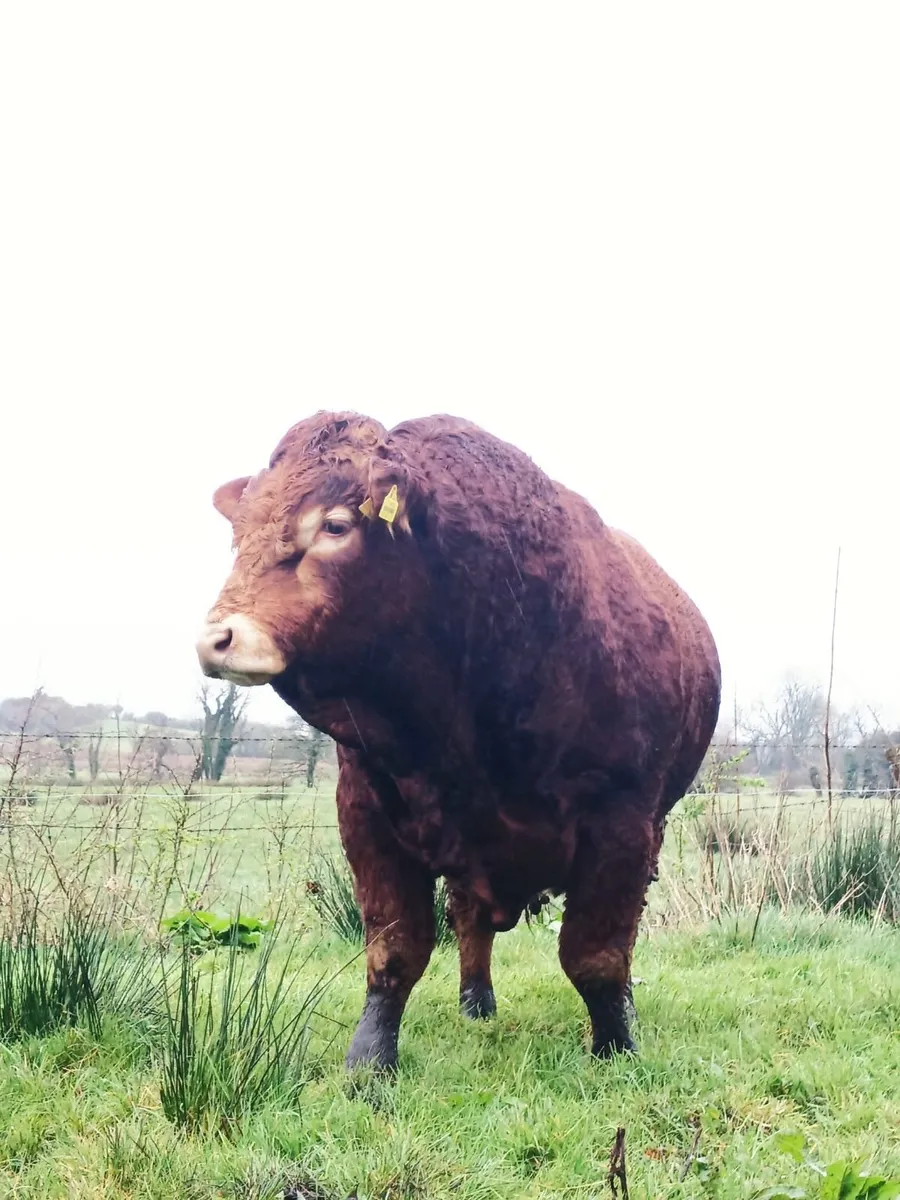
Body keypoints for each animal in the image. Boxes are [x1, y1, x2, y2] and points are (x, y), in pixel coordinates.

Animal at [196, 411, 721, 1071]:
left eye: (335, 524)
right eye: (238, 533)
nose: (217, 639)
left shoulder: (622, 822)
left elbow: (596, 954)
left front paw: (616, 1046)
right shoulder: (365, 812)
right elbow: (395, 947)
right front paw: (369, 1059)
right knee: (472, 922)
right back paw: (476, 1001)